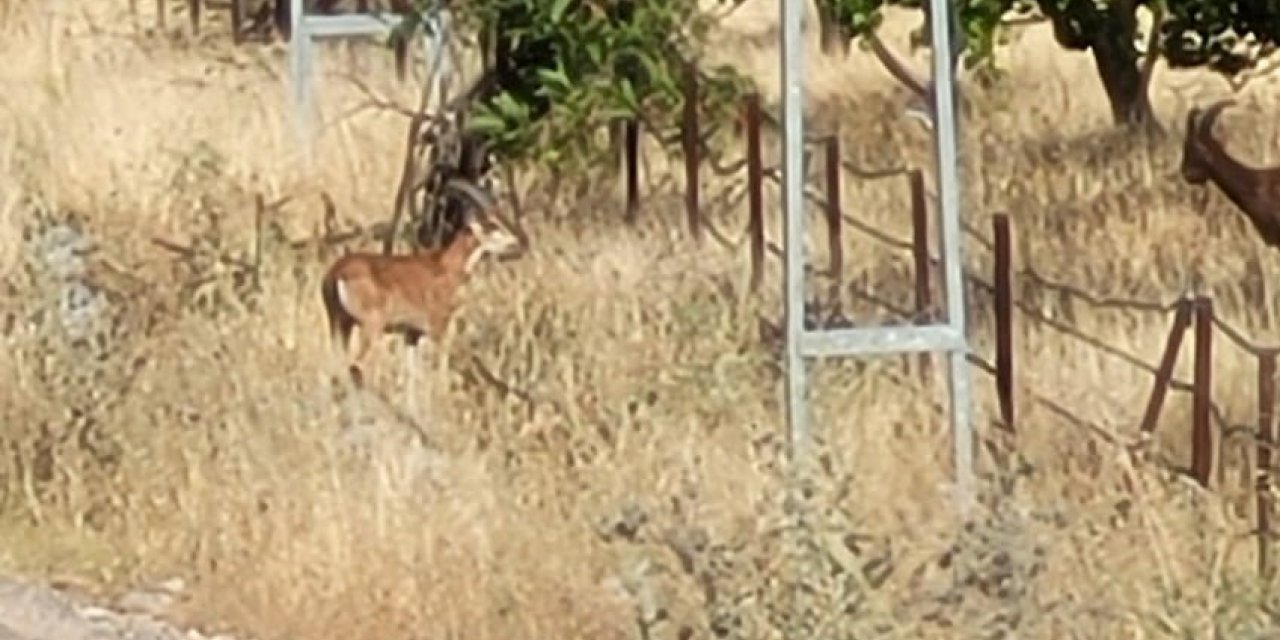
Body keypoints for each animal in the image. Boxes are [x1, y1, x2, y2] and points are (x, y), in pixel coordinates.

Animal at [322, 177, 527, 391]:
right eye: (492, 224)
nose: (520, 242)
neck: (445, 265)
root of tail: (338, 273)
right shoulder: (438, 329)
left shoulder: (411, 335)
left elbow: (411, 376)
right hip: (371, 328)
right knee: (357, 366)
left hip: (340, 324)